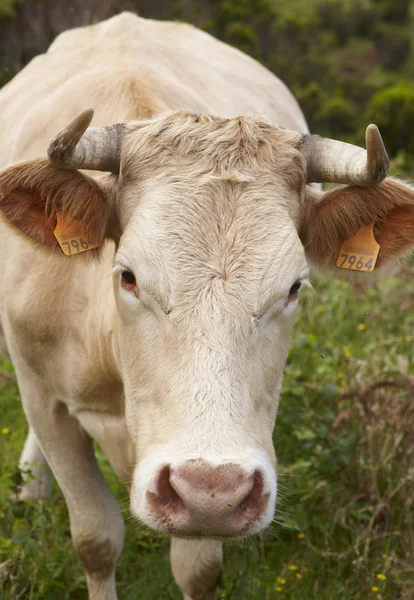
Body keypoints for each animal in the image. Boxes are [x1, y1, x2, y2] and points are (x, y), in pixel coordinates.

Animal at [0, 11, 414, 600]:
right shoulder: (44, 398)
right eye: (128, 276)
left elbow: (197, 568)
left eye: (294, 288)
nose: (209, 491)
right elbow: (96, 539)